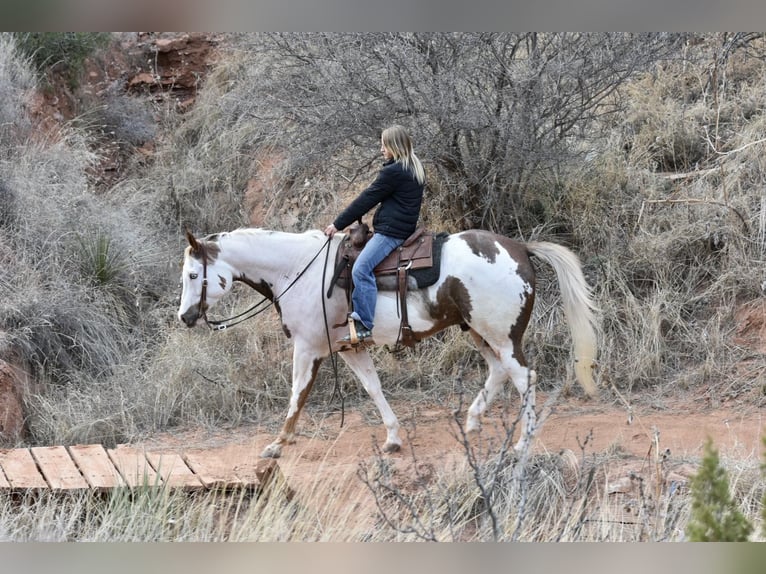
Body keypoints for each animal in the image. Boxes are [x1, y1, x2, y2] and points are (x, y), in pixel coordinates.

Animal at [178, 228, 600, 460]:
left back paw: (522, 444)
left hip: (502, 336)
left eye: (193, 274)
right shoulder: (350, 348)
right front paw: (394, 438)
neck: (297, 269)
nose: (184, 317)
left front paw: (278, 444)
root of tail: (519, 248)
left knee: (524, 378)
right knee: (498, 372)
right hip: (478, 332)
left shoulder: (308, 348)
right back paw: (473, 420)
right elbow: (374, 388)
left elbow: (297, 395)